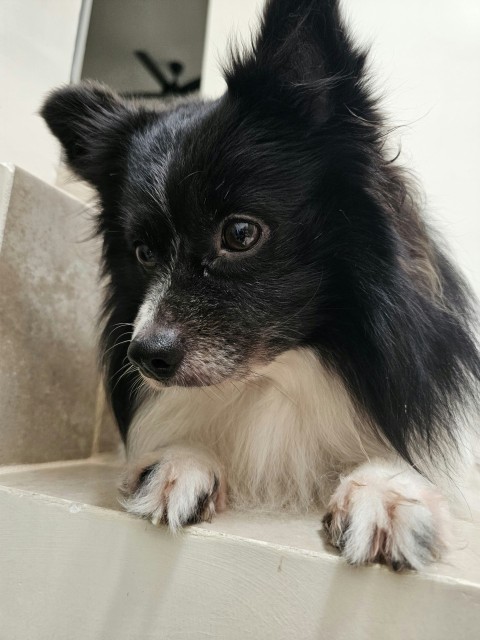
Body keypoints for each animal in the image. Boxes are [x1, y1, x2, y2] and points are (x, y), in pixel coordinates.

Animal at [40, 0, 476, 568]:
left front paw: (387, 490)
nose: (145, 357)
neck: (279, 376)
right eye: (143, 253)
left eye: (240, 234)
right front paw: (178, 461)